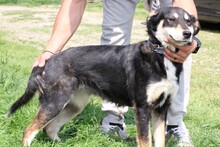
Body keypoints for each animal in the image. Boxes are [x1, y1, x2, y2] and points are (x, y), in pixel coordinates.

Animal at [6, 7, 199, 147]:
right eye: (171, 19)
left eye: (188, 21)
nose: (188, 34)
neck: (160, 55)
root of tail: (49, 60)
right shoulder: (142, 108)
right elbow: (145, 141)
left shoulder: (161, 108)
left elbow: (159, 141)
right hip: (55, 102)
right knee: (29, 131)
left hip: (74, 105)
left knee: (50, 128)